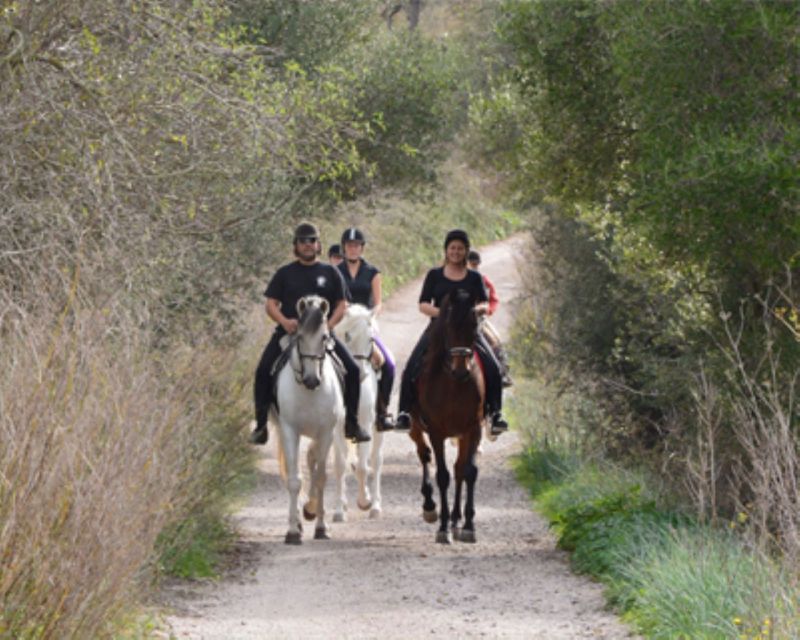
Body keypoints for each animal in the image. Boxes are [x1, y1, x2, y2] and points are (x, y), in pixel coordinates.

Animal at [272, 296, 344, 544]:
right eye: (300, 337)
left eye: (324, 337)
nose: (311, 380)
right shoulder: (289, 430)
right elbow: (295, 480)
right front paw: (293, 531)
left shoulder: (326, 432)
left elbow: (321, 477)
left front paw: (321, 526)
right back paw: (298, 520)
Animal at [332, 304, 386, 520]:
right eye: (346, 336)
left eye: (371, 339)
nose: (361, 373)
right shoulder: (337, 428)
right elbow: (340, 465)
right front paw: (339, 510)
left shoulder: (364, 424)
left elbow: (364, 467)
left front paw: (364, 502)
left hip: (378, 429)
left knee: (376, 461)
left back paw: (376, 506)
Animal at [410, 290, 484, 544]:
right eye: (449, 326)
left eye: (474, 326)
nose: (461, 370)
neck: (454, 385)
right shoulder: (436, 431)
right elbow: (442, 475)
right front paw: (442, 528)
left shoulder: (473, 429)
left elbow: (469, 472)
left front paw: (468, 525)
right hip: (415, 427)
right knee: (424, 454)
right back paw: (430, 507)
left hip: (463, 435)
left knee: (459, 468)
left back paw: (456, 519)